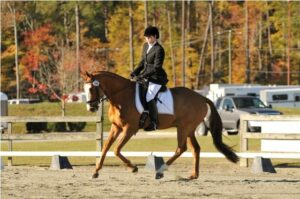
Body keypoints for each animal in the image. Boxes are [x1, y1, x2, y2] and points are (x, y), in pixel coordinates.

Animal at [82, 71, 239, 179]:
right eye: (84, 89)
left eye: (91, 89)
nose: (91, 108)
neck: (121, 96)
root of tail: (202, 97)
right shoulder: (116, 127)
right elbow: (106, 147)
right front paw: (96, 171)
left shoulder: (129, 129)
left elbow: (116, 149)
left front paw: (133, 168)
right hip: (189, 129)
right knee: (195, 149)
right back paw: (194, 175)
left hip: (184, 128)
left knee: (181, 149)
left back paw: (160, 172)